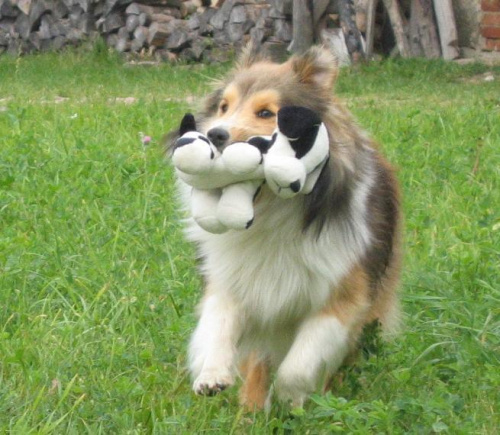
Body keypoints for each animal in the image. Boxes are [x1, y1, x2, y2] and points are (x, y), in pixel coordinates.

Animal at [172, 47, 402, 412]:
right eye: (224, 106)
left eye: (267, 112)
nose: (214, 135)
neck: (268, 213)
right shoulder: (232, 280)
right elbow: (218, 324)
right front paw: (212, 375)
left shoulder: (343, 295)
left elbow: (299, 365)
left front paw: (291, 398)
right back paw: (250, 410)